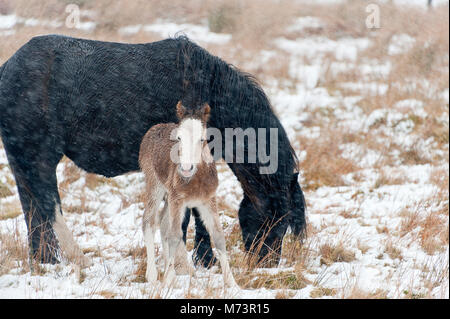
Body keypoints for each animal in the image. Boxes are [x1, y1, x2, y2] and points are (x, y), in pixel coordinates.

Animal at [0, 35, 306, 268]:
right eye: (275, 217)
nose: (266, 264)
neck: (207, 89)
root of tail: (7, 68)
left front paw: (203, 261)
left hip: (24, 159)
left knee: (33, 208)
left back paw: (45, 261)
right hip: (39, 156)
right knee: (48, 204)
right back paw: (78, 258)